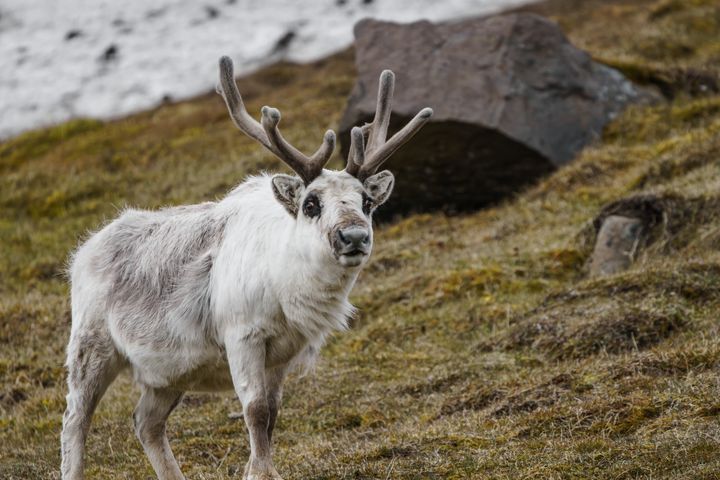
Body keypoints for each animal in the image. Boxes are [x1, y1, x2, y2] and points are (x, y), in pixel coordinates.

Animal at [60, 55, 432, 480]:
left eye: (367, 203)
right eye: (311, 204)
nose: (353, 236)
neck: (286, 285)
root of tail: (83, 253)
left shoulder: (282, 354)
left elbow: (271, 414)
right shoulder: (242, 336)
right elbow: (254, 411)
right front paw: (261, 472)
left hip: (168, 372)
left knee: (145, 422)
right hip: (91, 346)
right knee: (75, 419)